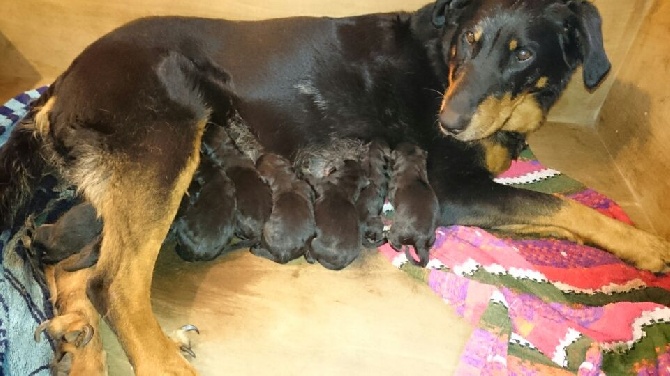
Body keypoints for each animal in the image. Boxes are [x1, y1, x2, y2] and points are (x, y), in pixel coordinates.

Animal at [1, 0, 670, 374]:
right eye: (469, 43)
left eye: (522, 53)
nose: (448, 121)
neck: (442, 57)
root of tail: (59, 85)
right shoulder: (452, 187)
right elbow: (560, 204)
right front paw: (646, 245)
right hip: (168, 143)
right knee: (113, 281)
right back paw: (159, 360)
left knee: (69, 270)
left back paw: (81, 350)